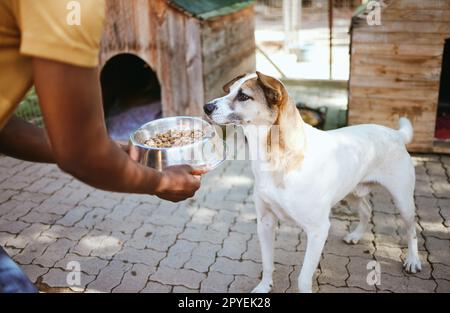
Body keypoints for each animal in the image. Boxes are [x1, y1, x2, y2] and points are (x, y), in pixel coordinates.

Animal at [204, 72, 422, 292]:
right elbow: (267, 263)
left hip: (403, 200)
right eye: (230, 91)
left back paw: (413, 260)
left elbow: (302, 278)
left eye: (243, 96)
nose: (206, 107)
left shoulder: (318, 230)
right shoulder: (265, 222)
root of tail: (395, 133)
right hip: (351, 192)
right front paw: (264, 286)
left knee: (411, 229)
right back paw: (356, 235)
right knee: (367, 210)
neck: (278, 157)